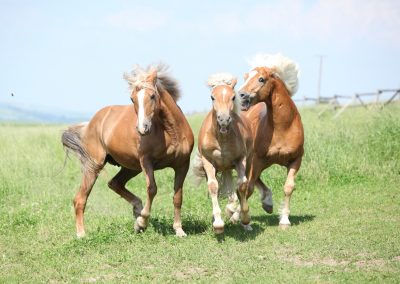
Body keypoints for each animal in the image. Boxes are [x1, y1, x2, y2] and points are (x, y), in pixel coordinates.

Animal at [61, 64, 194, 237]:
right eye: (132, 99)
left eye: (152, 96)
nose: (142, 128)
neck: (171, 133)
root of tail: (91, 123)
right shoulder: (146, 162)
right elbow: (152, 189)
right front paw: (142, 222)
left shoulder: (182, 164)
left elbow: (178, 196)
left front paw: (179, 230)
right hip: (95, 165)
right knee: (80, 199)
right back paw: (82, 234)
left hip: (131, 167)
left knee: (114, 183)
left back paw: (137, 209)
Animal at [192, 73, 252, 233]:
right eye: (212, 97)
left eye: (233, 97)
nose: (223, 119)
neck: (222, 138)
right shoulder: (207, 161)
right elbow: (213, 186)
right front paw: (218, 224)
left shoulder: (240, 159)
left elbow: (242, 185)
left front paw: (245, 219)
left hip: (233, 166)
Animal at [238, 54, 306, 229]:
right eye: (245, 77)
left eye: (261, 79)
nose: (241, 95)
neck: (282, 128)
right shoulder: (257, 159)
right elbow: (248, 188)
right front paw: (241, 219)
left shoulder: (296, 159)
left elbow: (289, 187)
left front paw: (284, 221)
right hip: (251, 161)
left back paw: (267, 203)